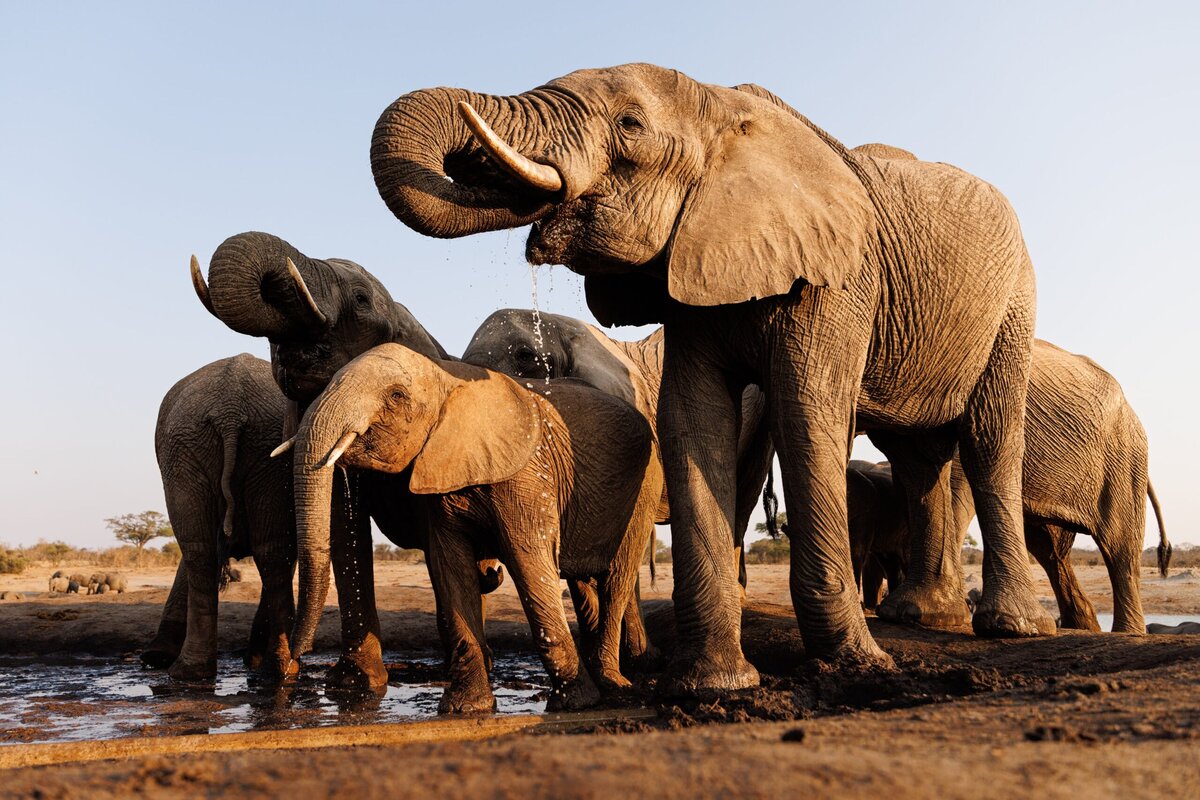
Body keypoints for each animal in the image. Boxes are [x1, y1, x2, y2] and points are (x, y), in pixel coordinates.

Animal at [284, 343, 663, 711]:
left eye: (396, 395)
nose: (295, 658)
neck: (446, 377)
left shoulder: (527, 477)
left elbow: (529, 563)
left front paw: (573, 702)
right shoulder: (440, 475)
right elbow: (451, 568)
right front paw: (465, 707)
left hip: (644, 487)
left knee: (616, 578)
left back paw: (612, 685)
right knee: (584, 582)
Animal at [848, 340, 1170, 633]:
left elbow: (953, 486)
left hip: (1122, 460)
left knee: (1119, 548)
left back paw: (1127, 632)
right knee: (1048, 549)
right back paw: (1082, 625)